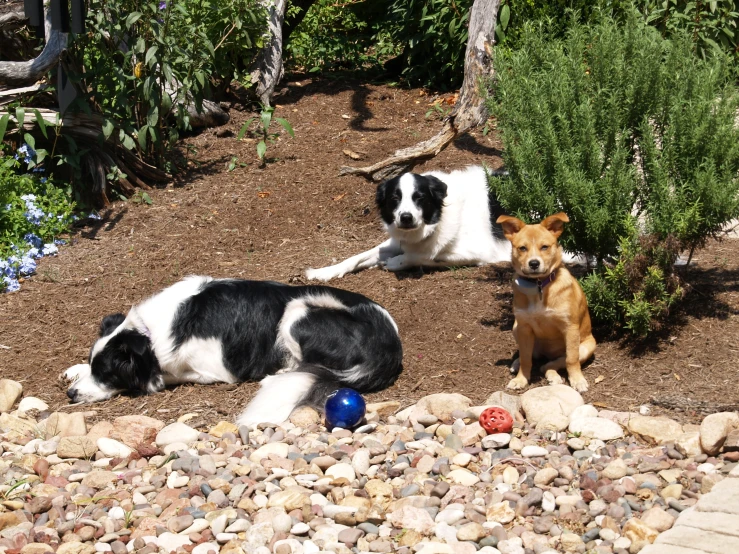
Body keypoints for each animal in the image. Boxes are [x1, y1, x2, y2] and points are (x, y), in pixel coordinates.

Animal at [62, 274, 404, 424]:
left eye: (108, 374)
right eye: (96, 367)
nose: (70, 395)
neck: (149, 333)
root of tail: (390, 348)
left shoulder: (213, 370)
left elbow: (164, 375)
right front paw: (75, 369)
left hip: (297, 312)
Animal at [304, 162, 512, 278]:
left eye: (420, 198)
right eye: (394, 199)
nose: (406, 218)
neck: (438, 220)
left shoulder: (481, 252)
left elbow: (429, 256)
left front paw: (396, 262)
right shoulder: (399, 240)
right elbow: (358, 256)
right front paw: (326, 271)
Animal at [498, 209, 596, 390]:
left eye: (545, 246)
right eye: (522, 248)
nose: (534, 263)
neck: (539, 286)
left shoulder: (570, 328)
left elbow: (571, 359)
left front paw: (577, 380)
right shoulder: (524, 328)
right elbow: (525, 358)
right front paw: (521, 379)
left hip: (586, 347)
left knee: (553, 363)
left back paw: (554, 376)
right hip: (516, 328)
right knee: (533, 358)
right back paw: (517, 364)